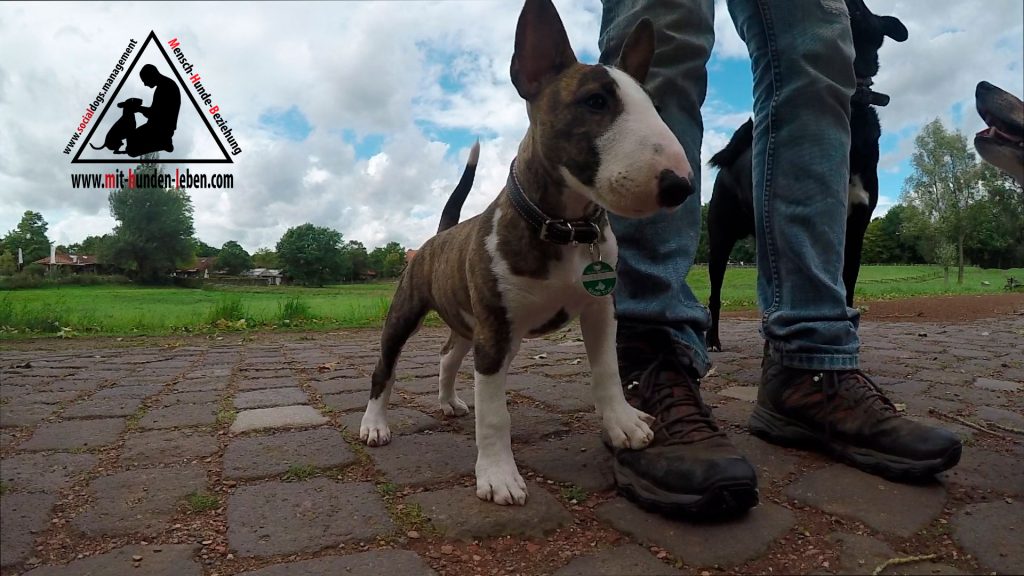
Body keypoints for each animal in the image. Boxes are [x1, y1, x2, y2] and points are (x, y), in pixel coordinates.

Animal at [360, 0, 696, 502]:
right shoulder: (496, 332)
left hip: (474, 326)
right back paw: (375, 424)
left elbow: (608, 370)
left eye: (653, 108)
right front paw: (498, 475)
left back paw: (448, 401)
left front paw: (623, 424)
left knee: (448, 356)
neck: (566, 227)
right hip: (411, 315)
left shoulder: (599, 310)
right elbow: (494, 413)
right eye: (595, 102)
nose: (680, 186)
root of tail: (442, 235)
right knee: (386, 368)